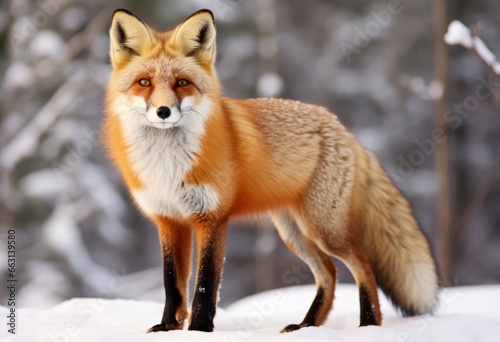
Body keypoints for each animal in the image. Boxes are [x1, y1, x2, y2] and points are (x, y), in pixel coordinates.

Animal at [102, 8, 438, 334]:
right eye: (144, 82)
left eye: (182, 83)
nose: (163, 111)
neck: (167, 166)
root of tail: (343, 129)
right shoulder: (168, 220)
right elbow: (172, 284)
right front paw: (169, 328)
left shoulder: (212, 218)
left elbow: (206, 286)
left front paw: (199, 330)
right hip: (294, 232)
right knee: (329, 272)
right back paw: (306, 325)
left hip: (325, 230)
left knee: (361, 265)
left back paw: (368, 323)